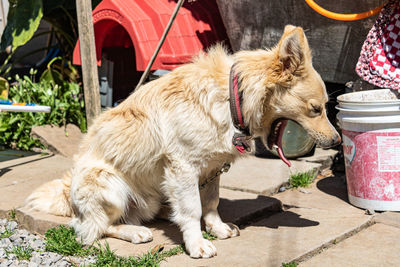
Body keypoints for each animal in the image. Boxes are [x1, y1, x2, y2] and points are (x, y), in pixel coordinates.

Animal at [25, 25, 340, 260]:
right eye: (316, 109)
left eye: (325, 106)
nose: (337, 139)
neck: (232, 99)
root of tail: (67, 194)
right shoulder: (184, 168)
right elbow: (192, 209)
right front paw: (197, 243)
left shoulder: (212, 168)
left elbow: (210, 203)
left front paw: (215, 228)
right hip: (109, 184)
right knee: (95, 228)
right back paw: (134, 231)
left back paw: (165, 213)